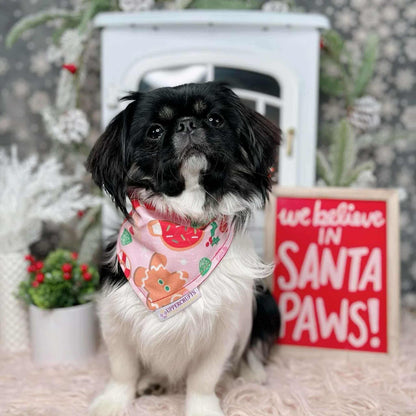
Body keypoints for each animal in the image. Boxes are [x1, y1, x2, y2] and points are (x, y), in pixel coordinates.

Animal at [88, 82, 282, 416]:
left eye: (216, 119)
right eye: (154, 131)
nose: (188, 124)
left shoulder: (223, 328)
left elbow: (203, 379)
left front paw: (202, 409)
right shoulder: (115, 316)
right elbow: (122, 370)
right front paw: (113, 402)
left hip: (266, 304)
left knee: (252, 347)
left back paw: (252, 372)